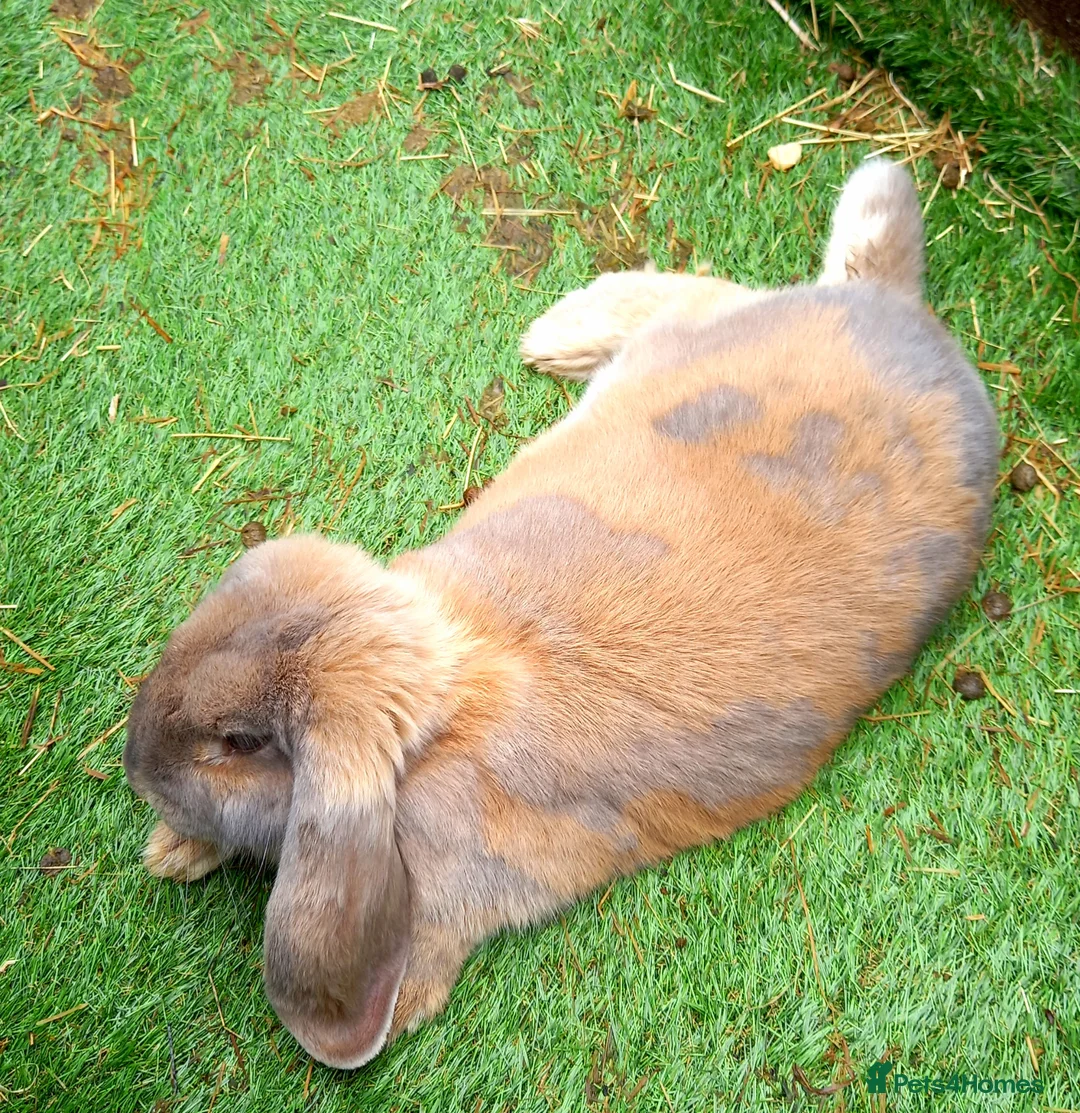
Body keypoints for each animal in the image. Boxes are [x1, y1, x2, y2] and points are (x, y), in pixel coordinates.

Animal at [124, 159, 999, 1069]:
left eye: (239, 744)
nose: (134, 766)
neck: (451, 701)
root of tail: (903, 311)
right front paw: (171, 850)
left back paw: (559, 332)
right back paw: (560, 332)